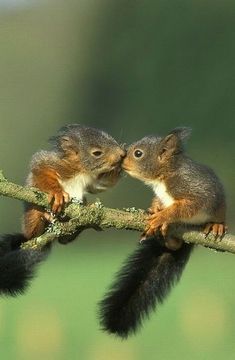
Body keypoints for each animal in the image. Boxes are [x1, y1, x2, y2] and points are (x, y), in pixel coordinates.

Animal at [0, 124, 125, 296]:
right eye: (97, 153)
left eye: (112, 139)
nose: (122, 154)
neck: (81, 170)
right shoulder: (51, 163)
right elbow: (40, 168)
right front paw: (57, 193)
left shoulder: (94, 182)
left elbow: (103, 184)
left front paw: (121, 167)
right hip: (31, 216)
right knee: (35, 230)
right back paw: (44, 218)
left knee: (65, 239)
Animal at [98, 126, 226, 338]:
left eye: (138, 153)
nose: (121, 158)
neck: (163, 177)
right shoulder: (161, 194)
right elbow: (159, 202)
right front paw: (154, 210)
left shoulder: (193, 189)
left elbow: (184, 207)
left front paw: (162, 217)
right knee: (173, 245)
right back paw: (166, 237)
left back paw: (216, 225)